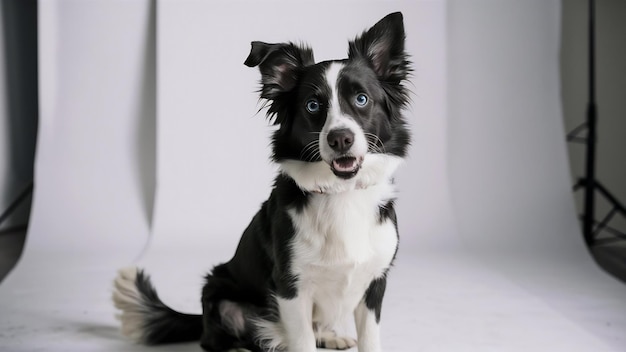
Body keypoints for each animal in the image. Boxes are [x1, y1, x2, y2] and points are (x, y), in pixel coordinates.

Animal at [113, 11, 410, 352]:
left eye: (362, 99)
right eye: (312, 105)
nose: (340, 139)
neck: (341, 193)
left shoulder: (374, 283)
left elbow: (369, 338)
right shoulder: (290, 286)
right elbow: (302, 340)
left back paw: (328, 335)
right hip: (220, 295)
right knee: (222, 339)